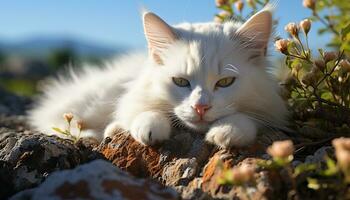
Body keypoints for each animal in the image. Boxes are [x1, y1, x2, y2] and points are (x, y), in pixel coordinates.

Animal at [28, 6, 288, 148]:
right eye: (181, 82)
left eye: (225, 82)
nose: (200, 107)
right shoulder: (134, 96)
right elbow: (146, 111)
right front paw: (150, 129)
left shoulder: (271, 109)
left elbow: (247, 118)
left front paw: (226, 132)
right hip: (96, 101)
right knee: (57, 121)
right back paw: (98, 134)